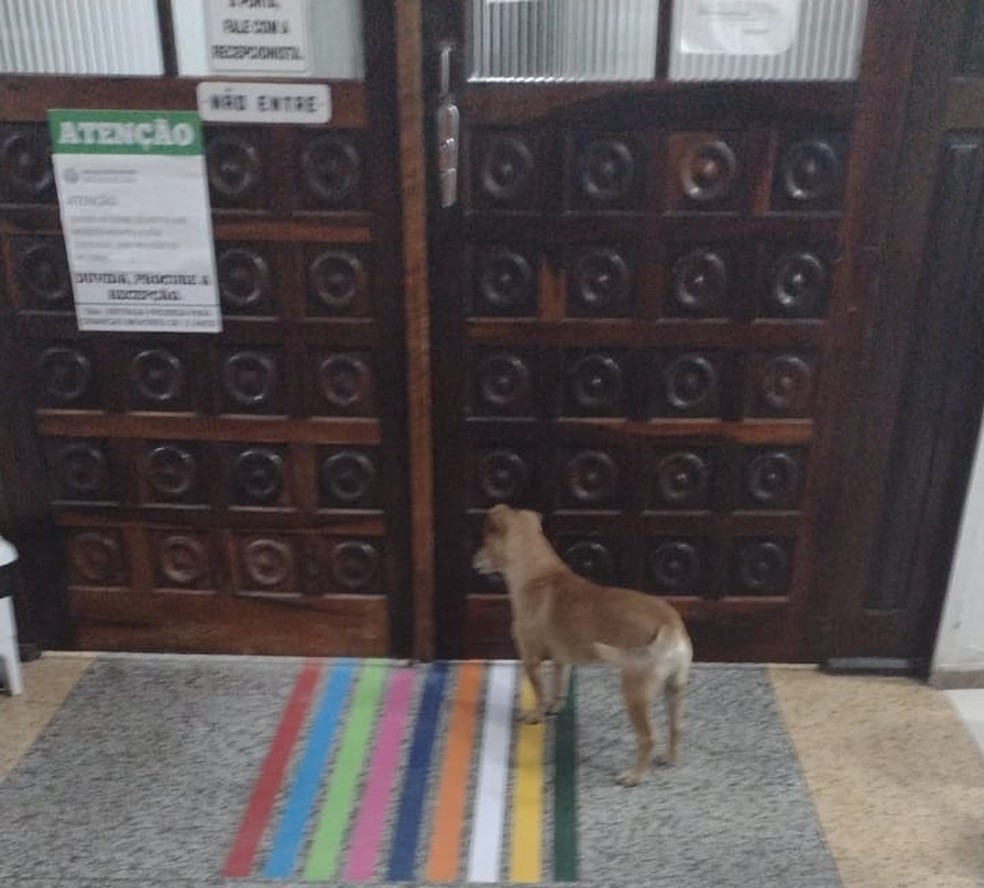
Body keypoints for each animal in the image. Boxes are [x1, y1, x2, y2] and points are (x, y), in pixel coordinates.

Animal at [474, 502, 692, 788]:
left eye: (484, 541)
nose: (473, 561)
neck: (539, 575)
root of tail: (670, 625)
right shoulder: (560, 657)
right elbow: (557, 684)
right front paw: (553, 707)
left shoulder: (530, 657)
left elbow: (538, 689)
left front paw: (536, 714)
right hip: (674, 687)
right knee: (676, 727)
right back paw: (671, 757)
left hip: (635, 692)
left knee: (648, 737)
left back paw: (635, 775)